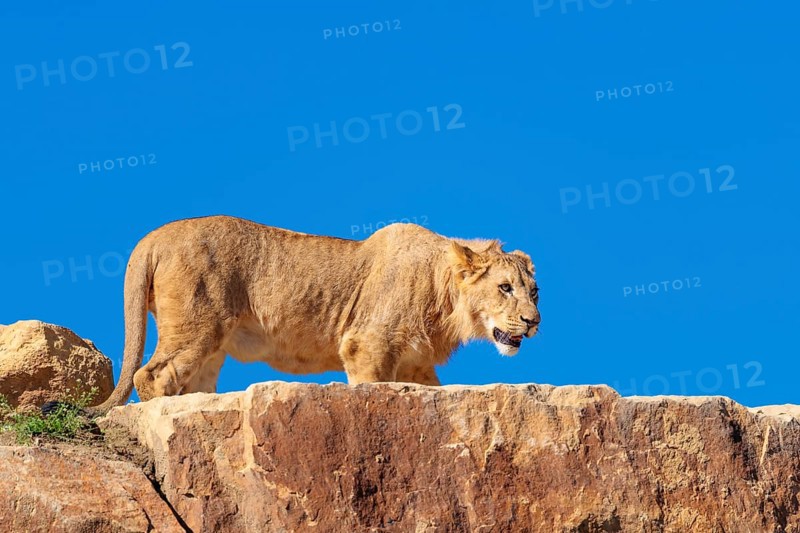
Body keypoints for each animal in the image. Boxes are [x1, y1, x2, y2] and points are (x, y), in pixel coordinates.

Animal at [90, 215, 540, 414]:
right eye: (504, 288)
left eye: (534, 292)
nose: (533, 321)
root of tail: (153, 237)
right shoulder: (366, 345)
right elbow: (371, 387)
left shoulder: (417, 365)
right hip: (198, 327)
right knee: (149, 375)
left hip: (212, 348)